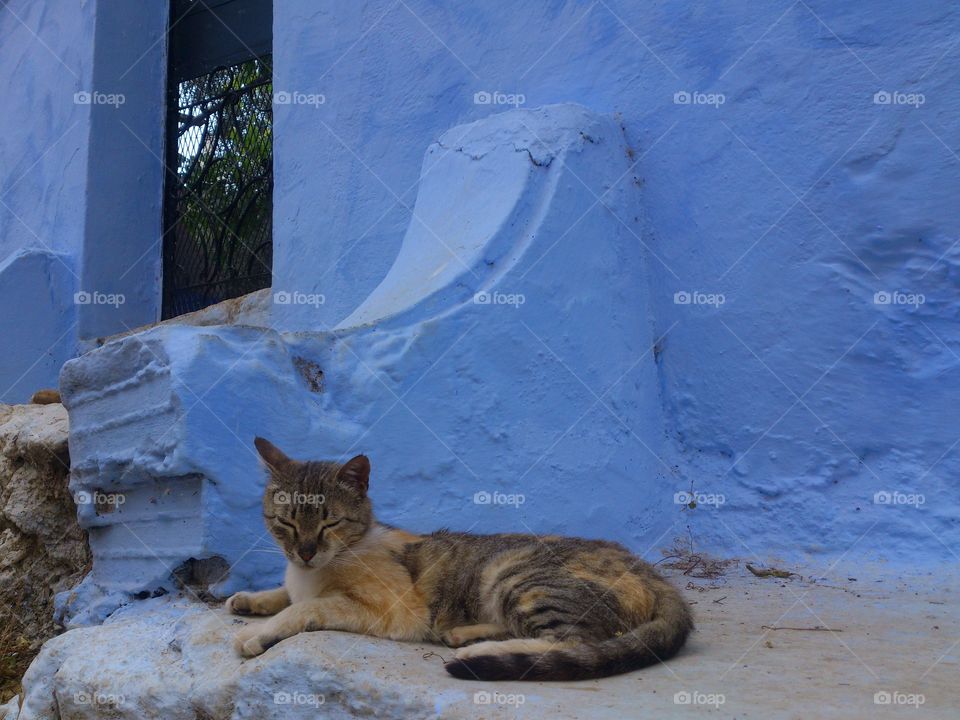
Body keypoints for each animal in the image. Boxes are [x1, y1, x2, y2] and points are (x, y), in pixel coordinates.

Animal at [229, 438, 692, 680]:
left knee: (578, 641)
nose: (305, 552)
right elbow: (286, 594)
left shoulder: (393, 610)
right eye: (285, 522)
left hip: (518, 575)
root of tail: (655, 575)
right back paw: (465, 634)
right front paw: (250, 599)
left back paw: (475, 652)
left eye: (329, 523)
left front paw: (259, 631)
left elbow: (307, 607)